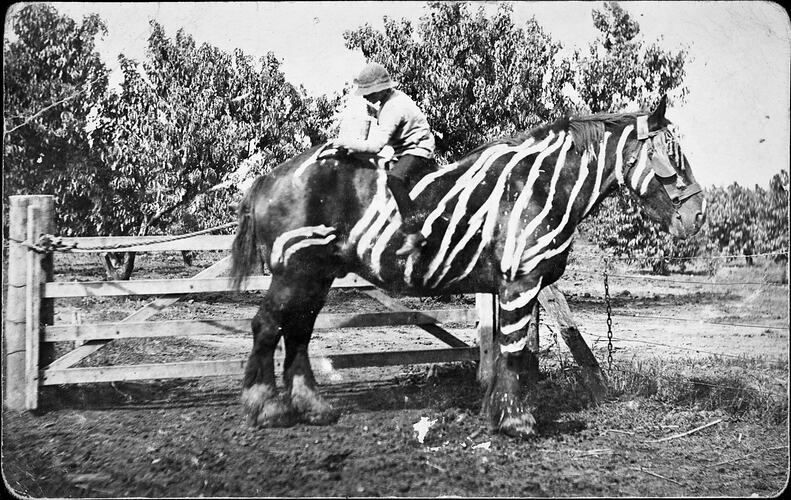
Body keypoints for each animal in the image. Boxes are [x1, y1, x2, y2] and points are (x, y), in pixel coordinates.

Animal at [230, 96, 706, 437]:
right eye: (673, 155)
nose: (698, 215)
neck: (538, 187)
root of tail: (269, 177)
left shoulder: (515, 288)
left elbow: (509, 353)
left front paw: (497, 413)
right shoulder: (520, 283)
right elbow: (513, 352)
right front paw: (516, 422)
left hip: (316, 276)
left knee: (298, 333)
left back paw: (313, 407)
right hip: (294, 273)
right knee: (268, 327)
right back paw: (267, 407)